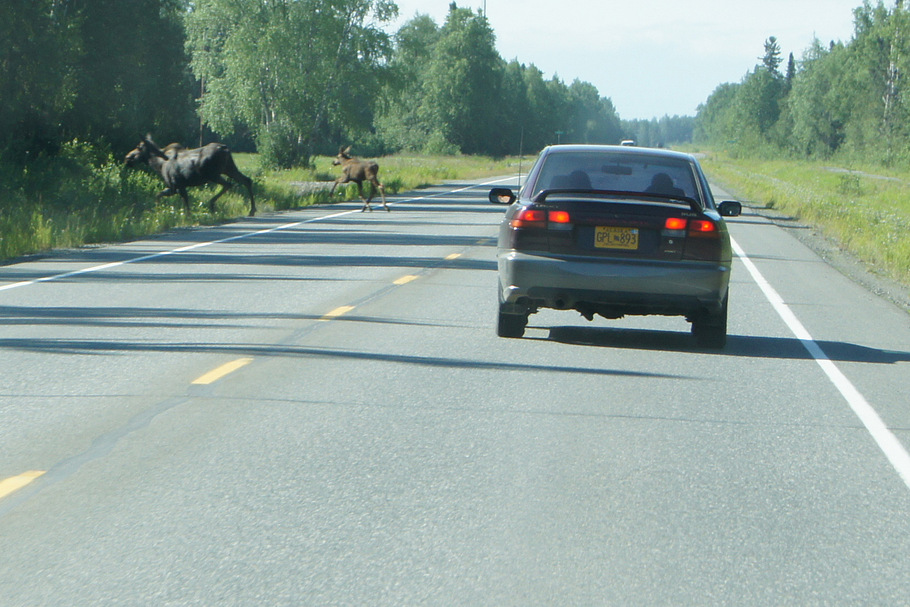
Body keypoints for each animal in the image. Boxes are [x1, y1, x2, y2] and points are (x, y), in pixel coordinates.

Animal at [124, 135, 256, 216]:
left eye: (139, 147)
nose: (127, 157)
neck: (158, 164)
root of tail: (225, 149)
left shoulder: (176, 186)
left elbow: (184, 204)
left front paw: (187, 218)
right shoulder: (178, 187)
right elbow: (159, 195)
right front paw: (158, 211)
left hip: (213, 174)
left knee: (229, 184)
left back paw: (212, 204)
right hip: (229, 169)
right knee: (246, 180)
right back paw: (251, 210)